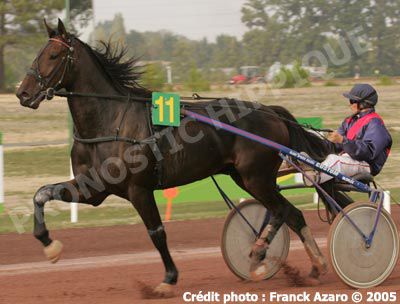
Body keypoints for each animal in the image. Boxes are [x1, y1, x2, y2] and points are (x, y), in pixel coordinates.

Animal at [17, 19, 332, 296]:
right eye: (37, 54)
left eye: (53, 55)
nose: (23, 93)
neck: (110, 121)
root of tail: (271, 111)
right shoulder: (93, 190)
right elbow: (41, 194)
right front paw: (49, 245)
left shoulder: (139, 189)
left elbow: (156, 232)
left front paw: (168, 280)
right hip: (244, 177)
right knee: (292, 214)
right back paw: (313, 266)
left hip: (257, 178)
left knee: (282, 211)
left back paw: (260, 251)